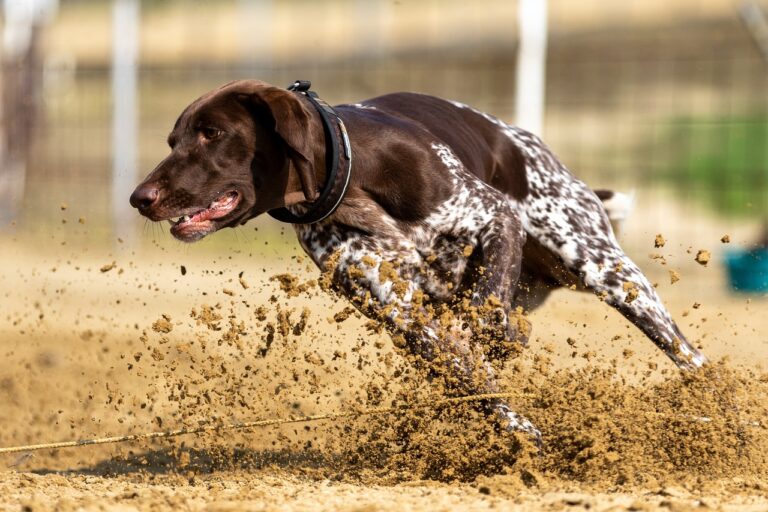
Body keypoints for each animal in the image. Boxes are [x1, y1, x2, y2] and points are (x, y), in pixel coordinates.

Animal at [129, 80, 704, 444]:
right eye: (173, 140)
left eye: (213, 133)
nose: (140, 197)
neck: (351, 181)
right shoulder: (403, 315)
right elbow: (471, 380)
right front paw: (518, 434)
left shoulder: (495, 217)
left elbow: (487, 314)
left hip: (605, 269)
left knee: (689, 356)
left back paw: (715, 409)